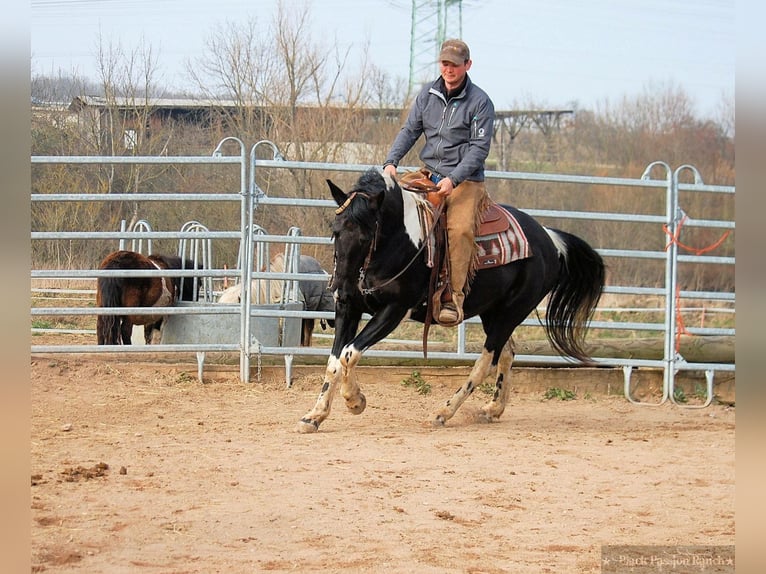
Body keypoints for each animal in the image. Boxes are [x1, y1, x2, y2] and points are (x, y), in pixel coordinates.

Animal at [297, 169, 605, 433]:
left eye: (365, 235)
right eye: (335, 229)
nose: (339, 287)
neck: (397, 241)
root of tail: (550, 239)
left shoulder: (394, 310)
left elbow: (349, 353)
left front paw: (355, 401)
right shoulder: (349, 308)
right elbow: (335, 361)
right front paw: (314, 416)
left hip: (512, 312)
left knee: (487, 361)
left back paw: (443, 412)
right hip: (494, 312)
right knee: (507, 353)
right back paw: (492, 409)